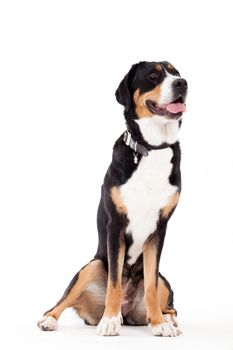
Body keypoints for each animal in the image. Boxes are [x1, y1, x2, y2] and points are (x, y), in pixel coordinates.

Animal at [37, 60, 187, 336]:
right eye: (153, 75)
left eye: (176, 73)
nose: (182, 83)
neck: (152, 150)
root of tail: (128, 311)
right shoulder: (115, 225)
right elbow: (115, 282)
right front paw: (109, 321)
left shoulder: (158, 230)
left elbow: (150, 286)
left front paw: (159, 324)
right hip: (92, 266)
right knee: (62, 301)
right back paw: (50, 319)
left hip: (164, 281)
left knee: (168, 303)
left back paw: (166, 319)